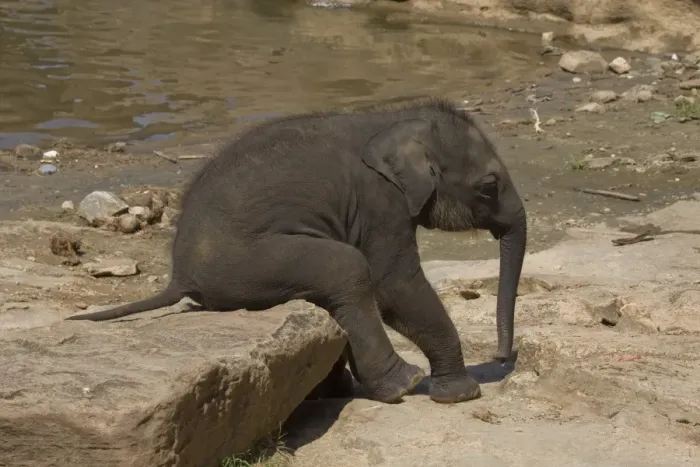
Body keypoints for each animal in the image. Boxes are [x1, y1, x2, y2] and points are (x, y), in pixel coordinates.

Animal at [66, 97, 528, 405]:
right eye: (489, 186)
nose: (502, 354)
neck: (391, 118)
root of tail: (178, 275)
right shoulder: (380, 202)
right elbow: (394, 283)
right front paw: (462, 395)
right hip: (249, 264)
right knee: (347, 268)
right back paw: (403, 384)